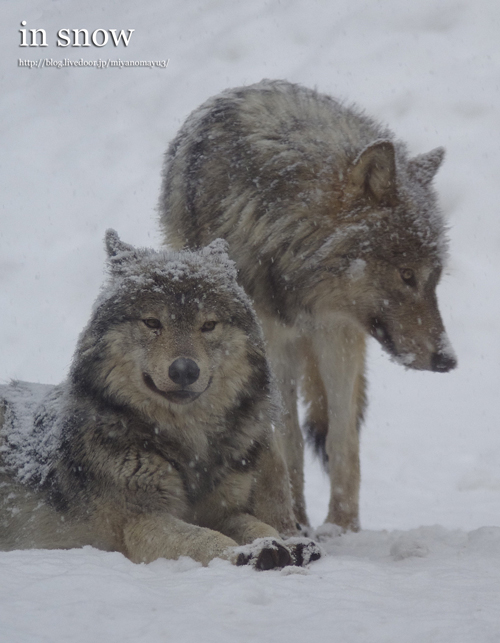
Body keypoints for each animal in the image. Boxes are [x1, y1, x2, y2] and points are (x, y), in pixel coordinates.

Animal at [0, 230, 320, 568]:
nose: (184, 370)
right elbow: (204, 538)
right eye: (153, 323)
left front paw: (286, 543)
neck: (190, 446)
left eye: (208, 325)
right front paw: (244, 553)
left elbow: (259, 525)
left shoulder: (224, 510)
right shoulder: (140, 521)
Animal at [160, 79, 458, 532]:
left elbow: (342, 437)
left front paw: (343, 527)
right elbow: (285, 437)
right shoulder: (266, 340)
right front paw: (292, 522)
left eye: (434, 277)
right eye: (407, 275)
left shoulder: (336, 333)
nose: (447, 359)